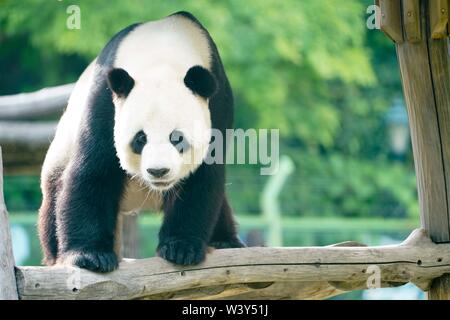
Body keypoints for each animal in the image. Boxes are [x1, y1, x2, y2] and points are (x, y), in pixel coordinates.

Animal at [37, 11, 244, 272]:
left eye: (177, 138)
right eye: (140, 138)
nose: (158, 171)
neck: (163, 52)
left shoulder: (218, 103)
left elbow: (203, 177)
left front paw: (181, 248)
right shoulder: (105, 100)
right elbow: (94, 169)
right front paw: (90, 256)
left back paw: (225, 241)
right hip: (62, 146)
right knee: (54, 194)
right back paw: (56, 257)